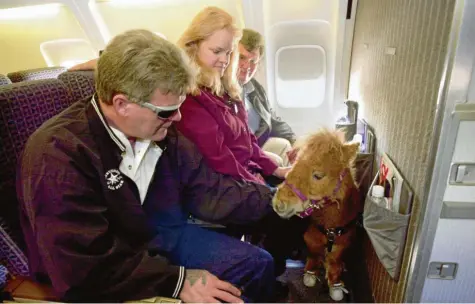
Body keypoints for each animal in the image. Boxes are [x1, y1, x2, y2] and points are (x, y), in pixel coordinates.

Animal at [272, 129, 360, 302]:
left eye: (318, 175)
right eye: (295, 164)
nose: (279, 203)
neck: (330, 226)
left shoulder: (344, 240)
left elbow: (334, 258)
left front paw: (335, 283)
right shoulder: (311, 236)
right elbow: (314, 252)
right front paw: (311, 273)